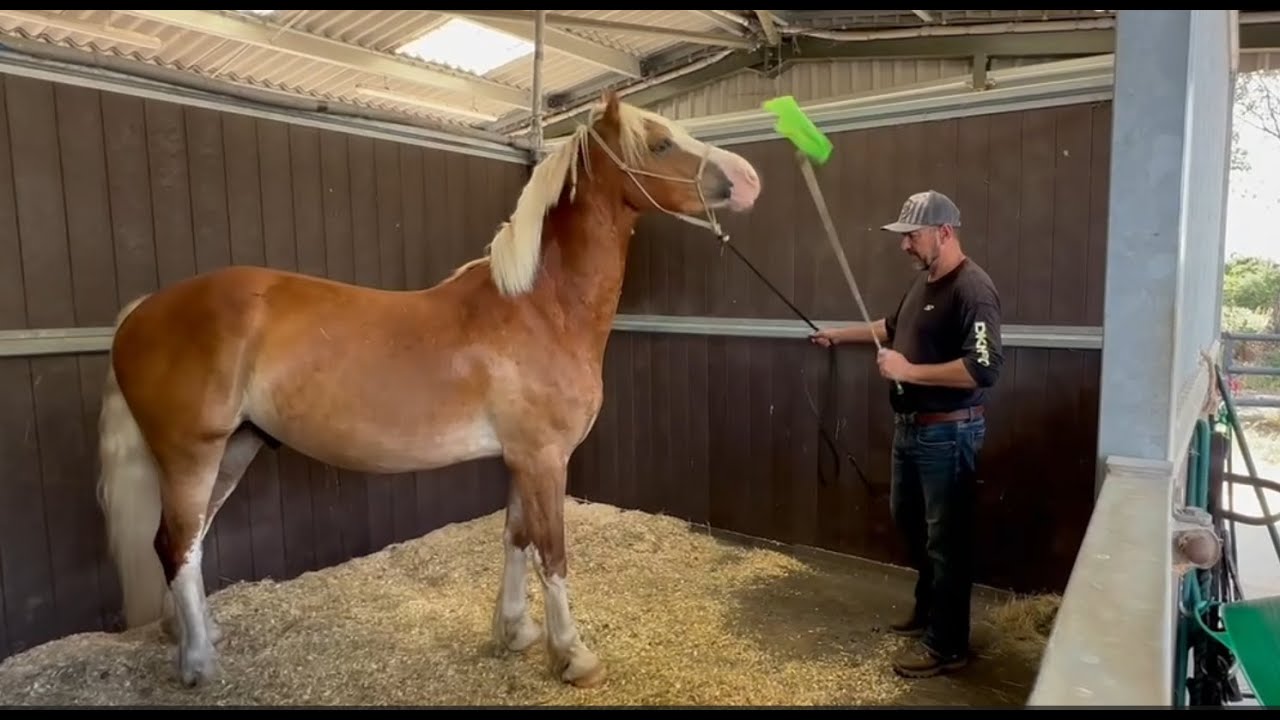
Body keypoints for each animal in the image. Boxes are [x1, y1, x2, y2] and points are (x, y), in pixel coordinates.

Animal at [95, 89, 762, 691]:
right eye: (660, 143)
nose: (748, 179)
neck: (539, 308)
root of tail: (140, 311)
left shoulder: (521, 458)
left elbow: (515, 537)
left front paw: (514, 633)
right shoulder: (545, 458)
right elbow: (552, 552)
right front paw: (573, 656)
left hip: (235, 449)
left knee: (190, 543)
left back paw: (197, 636)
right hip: (191, 454)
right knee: (175, 544)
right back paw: (198, 665)